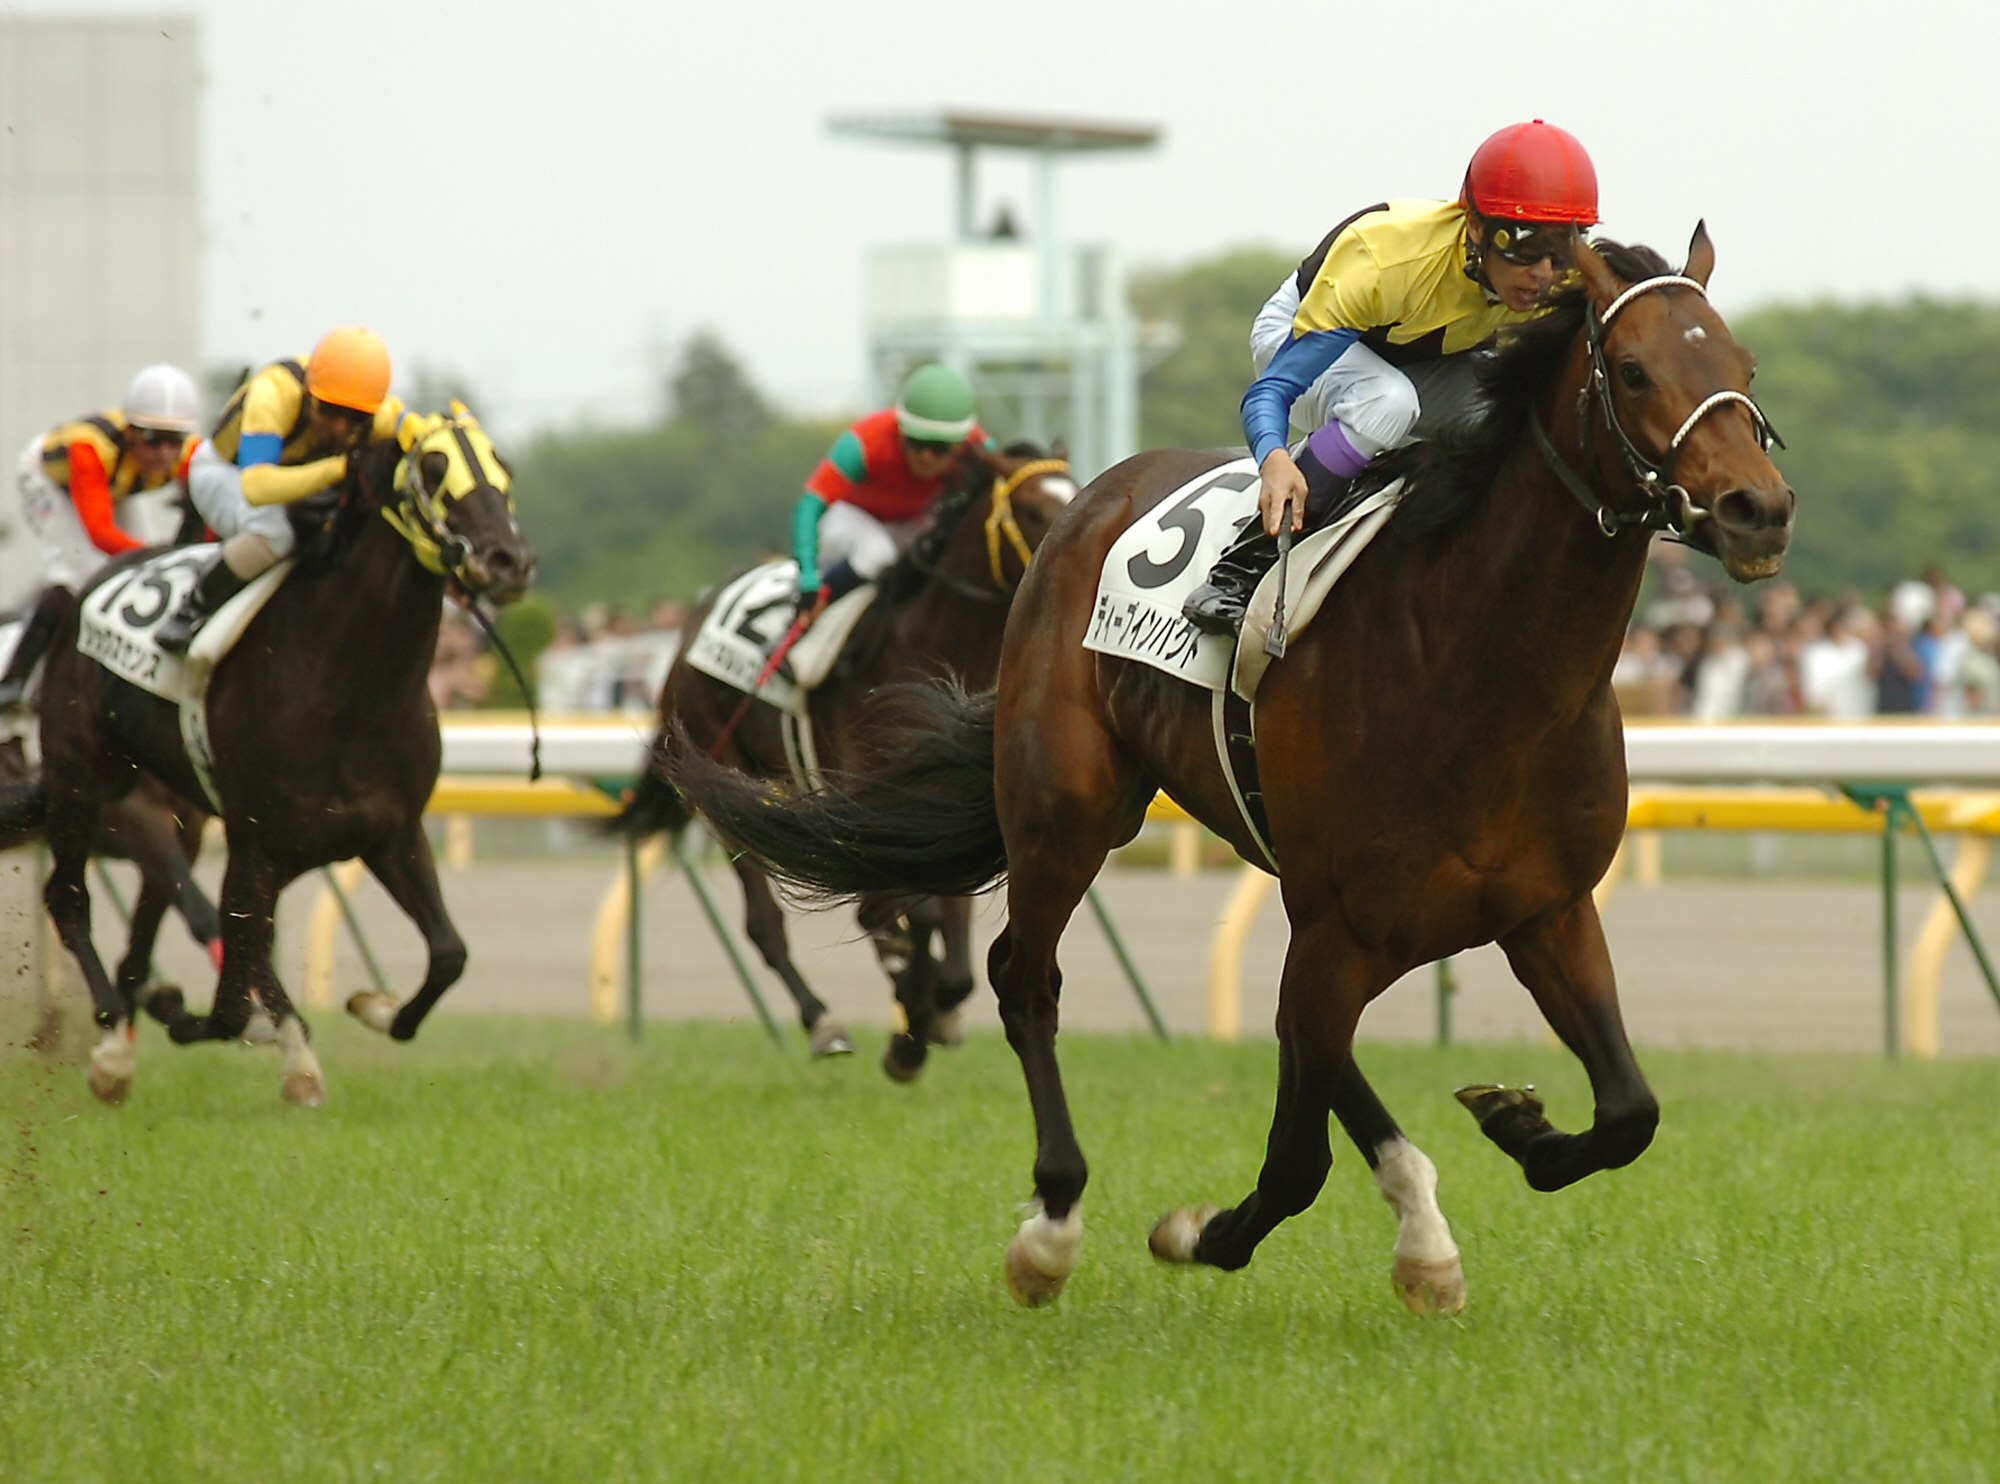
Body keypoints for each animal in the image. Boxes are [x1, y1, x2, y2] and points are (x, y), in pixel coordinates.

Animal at [22, 413, 535, 1106]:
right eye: (432, 469)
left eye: (502, 465)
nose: (509, 561)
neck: (350, 686)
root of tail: (81, 592)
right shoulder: (257, 842)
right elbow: (231, 991)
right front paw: (252, 1040)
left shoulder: (391, 832)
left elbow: (449, 953)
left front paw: (374, 1007)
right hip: (81, 780)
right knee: (69, 896)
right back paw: (111, 1050)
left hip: (182, 819)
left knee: (162, 918)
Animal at [607, 446, 1075, 1079]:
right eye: (1030, 508)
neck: (925, 641)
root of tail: (690, 628)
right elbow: (918, 915)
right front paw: (909, 1032)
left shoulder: (944, 802)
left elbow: (947, 939)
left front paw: (928, 1014)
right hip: (721, 769)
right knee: (767, 924)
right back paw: (824, 1022)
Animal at [661, 228, 1794, 1311]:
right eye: (1635, 371)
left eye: (1743, 363)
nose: (1758, 508)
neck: (1481, 666)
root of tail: (1096, 497)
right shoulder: (1340, 924)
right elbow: (1293, 1161)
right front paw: (1198, 1232)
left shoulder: (1542, 910)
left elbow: (1628, 1111)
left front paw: (1515, 1125)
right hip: (1068, 809)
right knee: (1023, 977)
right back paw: (1049, 1226)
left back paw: (1418, 1227)